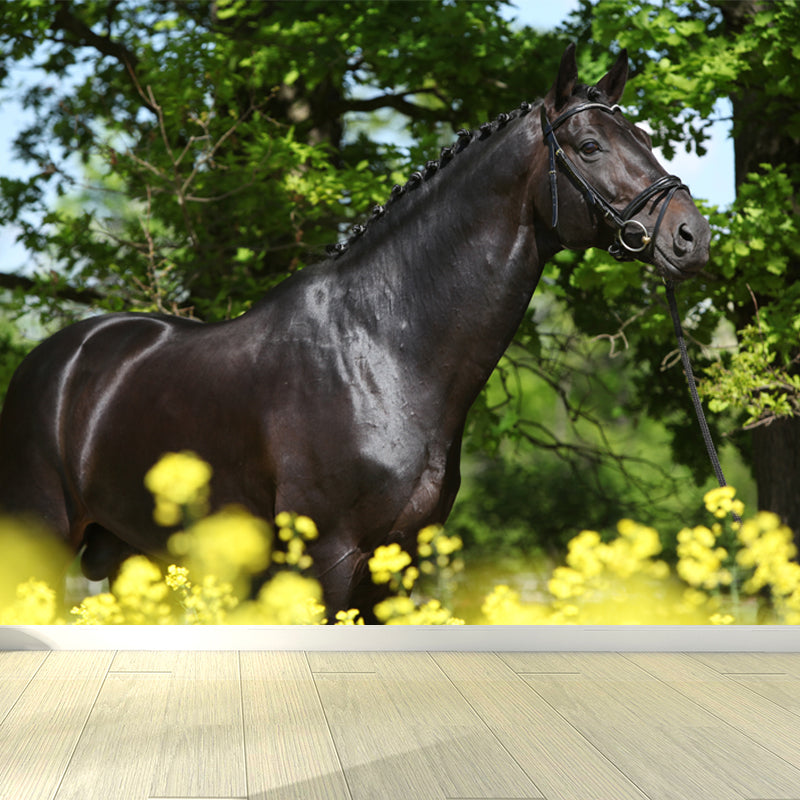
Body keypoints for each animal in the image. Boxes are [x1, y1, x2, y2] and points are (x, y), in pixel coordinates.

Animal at [0, 45, 710, 621]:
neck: (382, 352)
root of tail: (57, 358)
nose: (691, 237)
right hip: (43, 543)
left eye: (644, 136)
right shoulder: (329, 561)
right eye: (590, 147)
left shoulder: (396, 567)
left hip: (127, 558)